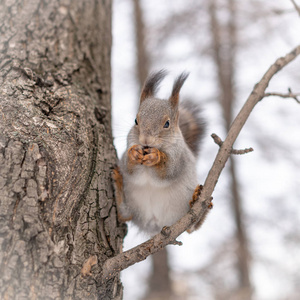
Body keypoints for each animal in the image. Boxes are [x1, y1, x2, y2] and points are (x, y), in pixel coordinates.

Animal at [112, 70, 206, 237]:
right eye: (136, 120)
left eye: (167, 124)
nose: (145, 140)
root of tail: (156, 225)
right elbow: (130, 168)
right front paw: (133, 154)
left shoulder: (178, 157)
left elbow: (168, 171)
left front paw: (156, 157)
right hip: (134, 204)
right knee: (124, 214)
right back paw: (118, 183)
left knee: (192, 227)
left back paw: (197, 200)